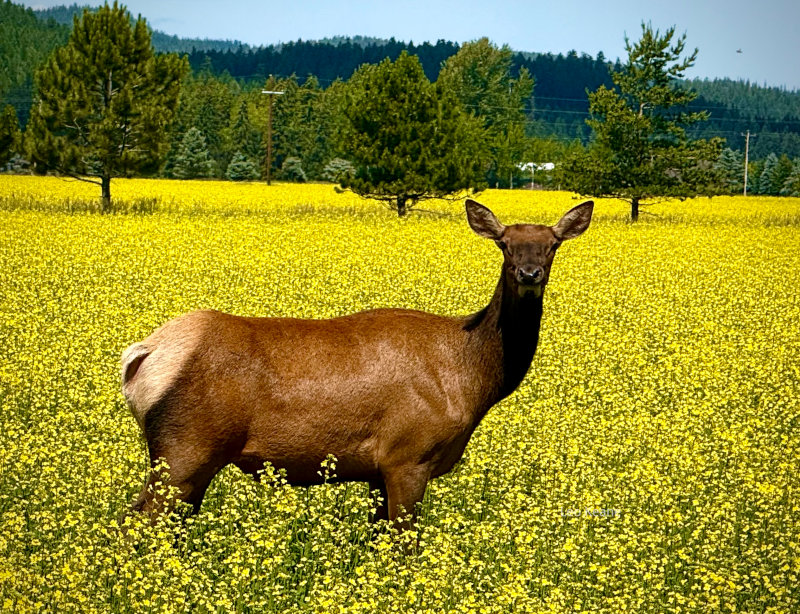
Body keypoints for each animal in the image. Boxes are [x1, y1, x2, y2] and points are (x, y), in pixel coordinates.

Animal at [121, 198, 593, 527]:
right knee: (136, 520)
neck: (470, 378)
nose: (529, 274)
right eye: (504, 244)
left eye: (552, 245)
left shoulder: (376, 470)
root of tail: (143, 353)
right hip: (183, 448)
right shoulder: (408, 455)